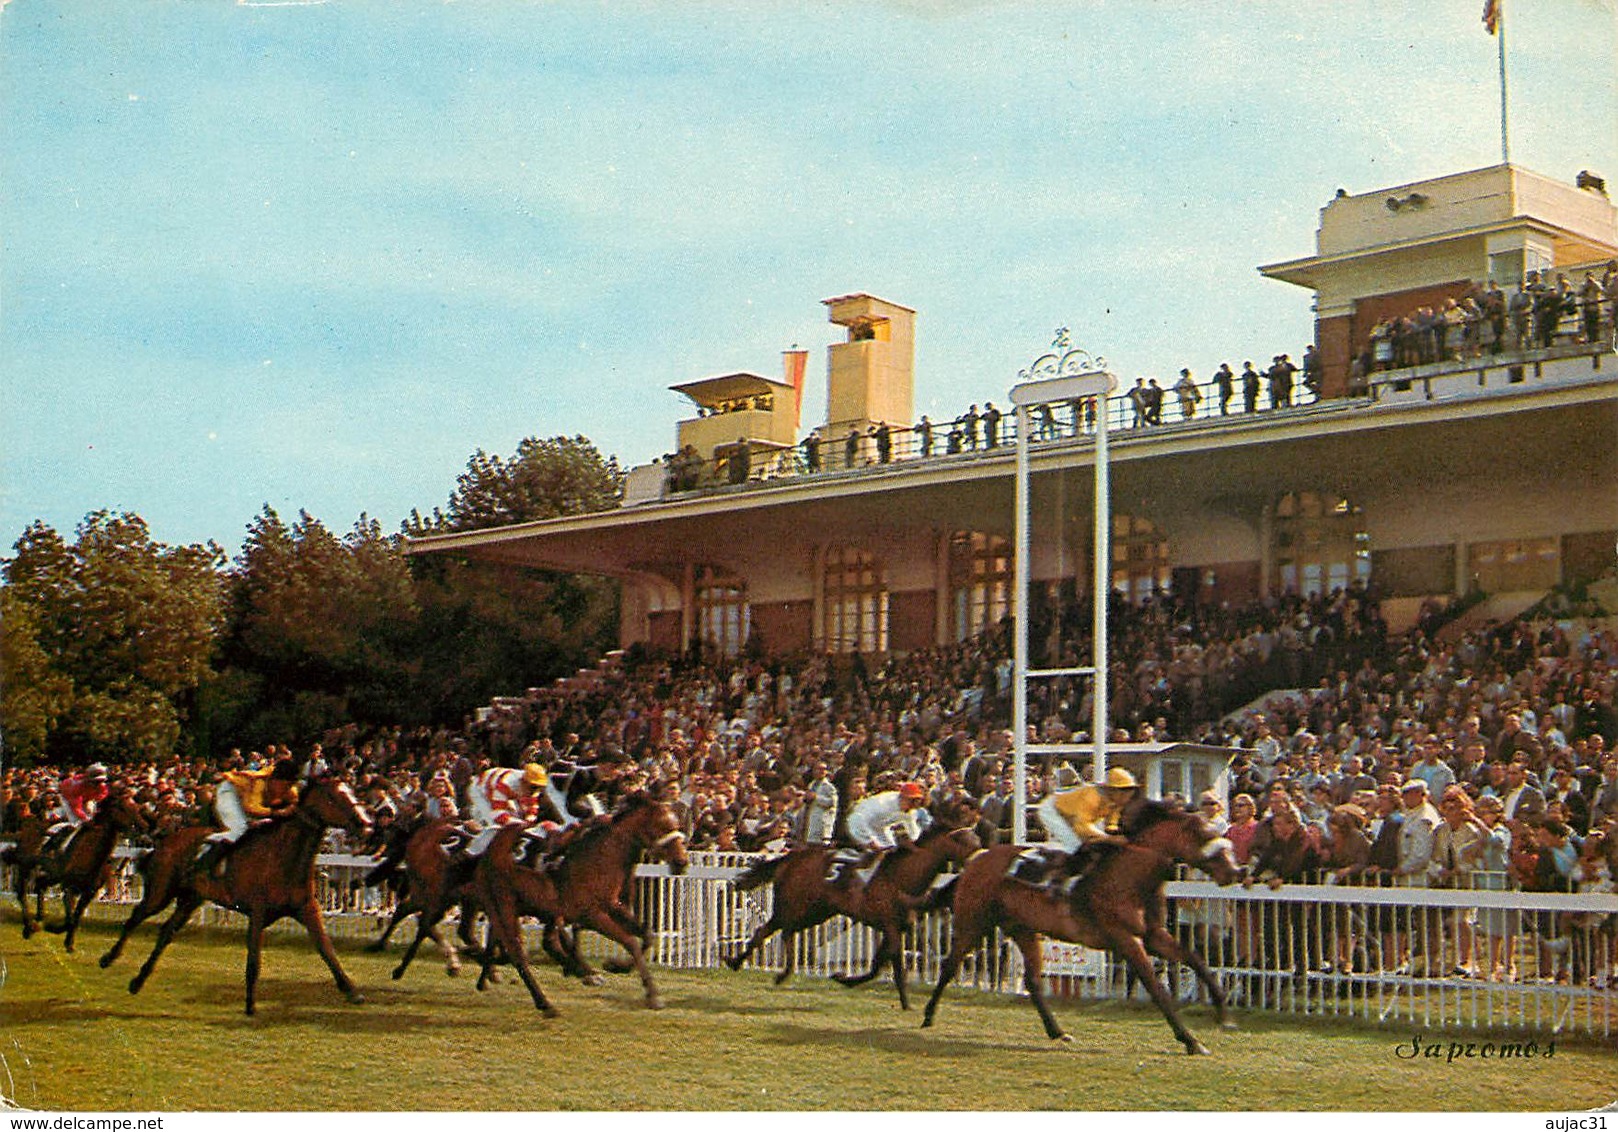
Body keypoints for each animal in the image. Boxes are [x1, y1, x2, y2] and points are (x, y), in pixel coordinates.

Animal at [8, 785, 150, 957]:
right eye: (123, 807)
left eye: (135, 805)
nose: (144, 826)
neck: (90, 852)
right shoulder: (69, 886)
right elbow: (70, 917)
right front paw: (54, 929)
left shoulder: (88, 891)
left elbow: (76, 916)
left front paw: (68, 942)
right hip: (27, 867)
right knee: (22, 893)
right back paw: (29, 927)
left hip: (51, 875)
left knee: (40, 886)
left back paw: (39, 919)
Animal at [101, 779, 375, 1015]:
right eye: (333, 797)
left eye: (350, 792)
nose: (365, 823)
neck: (283, 855)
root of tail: (166, 840)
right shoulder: (257, 912)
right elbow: (253, 961)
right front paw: (250, 1005)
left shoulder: (307, 909)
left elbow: (327, 950)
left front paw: (352, 991)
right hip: (161, 892)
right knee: (135, 917)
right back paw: (108, 959)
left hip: (191, 899)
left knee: (166, 932)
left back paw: (138, 981)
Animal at [472, 785, 689, 1015]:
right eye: (663, 825)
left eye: (677, 824)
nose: (682, 862)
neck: (603, 855)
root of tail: (490, 847)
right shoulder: (590, 915)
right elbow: (631, 942)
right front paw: (652, 995)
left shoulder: (612, 906)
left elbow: (647, 935)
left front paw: (617, 966)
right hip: (504, 905)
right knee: (518, 954)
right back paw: (545, 1002)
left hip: (521, 907)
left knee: (523, 942)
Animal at [724, 821, 977, 1009]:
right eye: (970, 843)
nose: (980, 859)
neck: (902, 877)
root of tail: (793, 857)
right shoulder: (890, 926)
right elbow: (894, 967)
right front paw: (906, 1003)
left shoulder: (894, 928)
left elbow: (876, 967)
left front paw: (844, 979)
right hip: (795, 907)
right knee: (773, 930)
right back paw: (759, 966)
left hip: (817, 912)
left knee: (776, 931)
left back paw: (753, 965)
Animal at [919, 795, 1242, 1054]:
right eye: (1202, 834)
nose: (1235, 870)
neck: (1129, 875)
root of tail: (976, 860)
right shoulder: (1125, 938)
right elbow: (1156, 988)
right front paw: (1191, 1040)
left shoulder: (1153, 935)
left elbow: (1196, 960)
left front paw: (1223, 1012)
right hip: (973, 922)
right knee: (949, 965)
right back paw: (928, 1016)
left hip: (1023, 928)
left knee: (1032, 981)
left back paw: (1058, 1032)